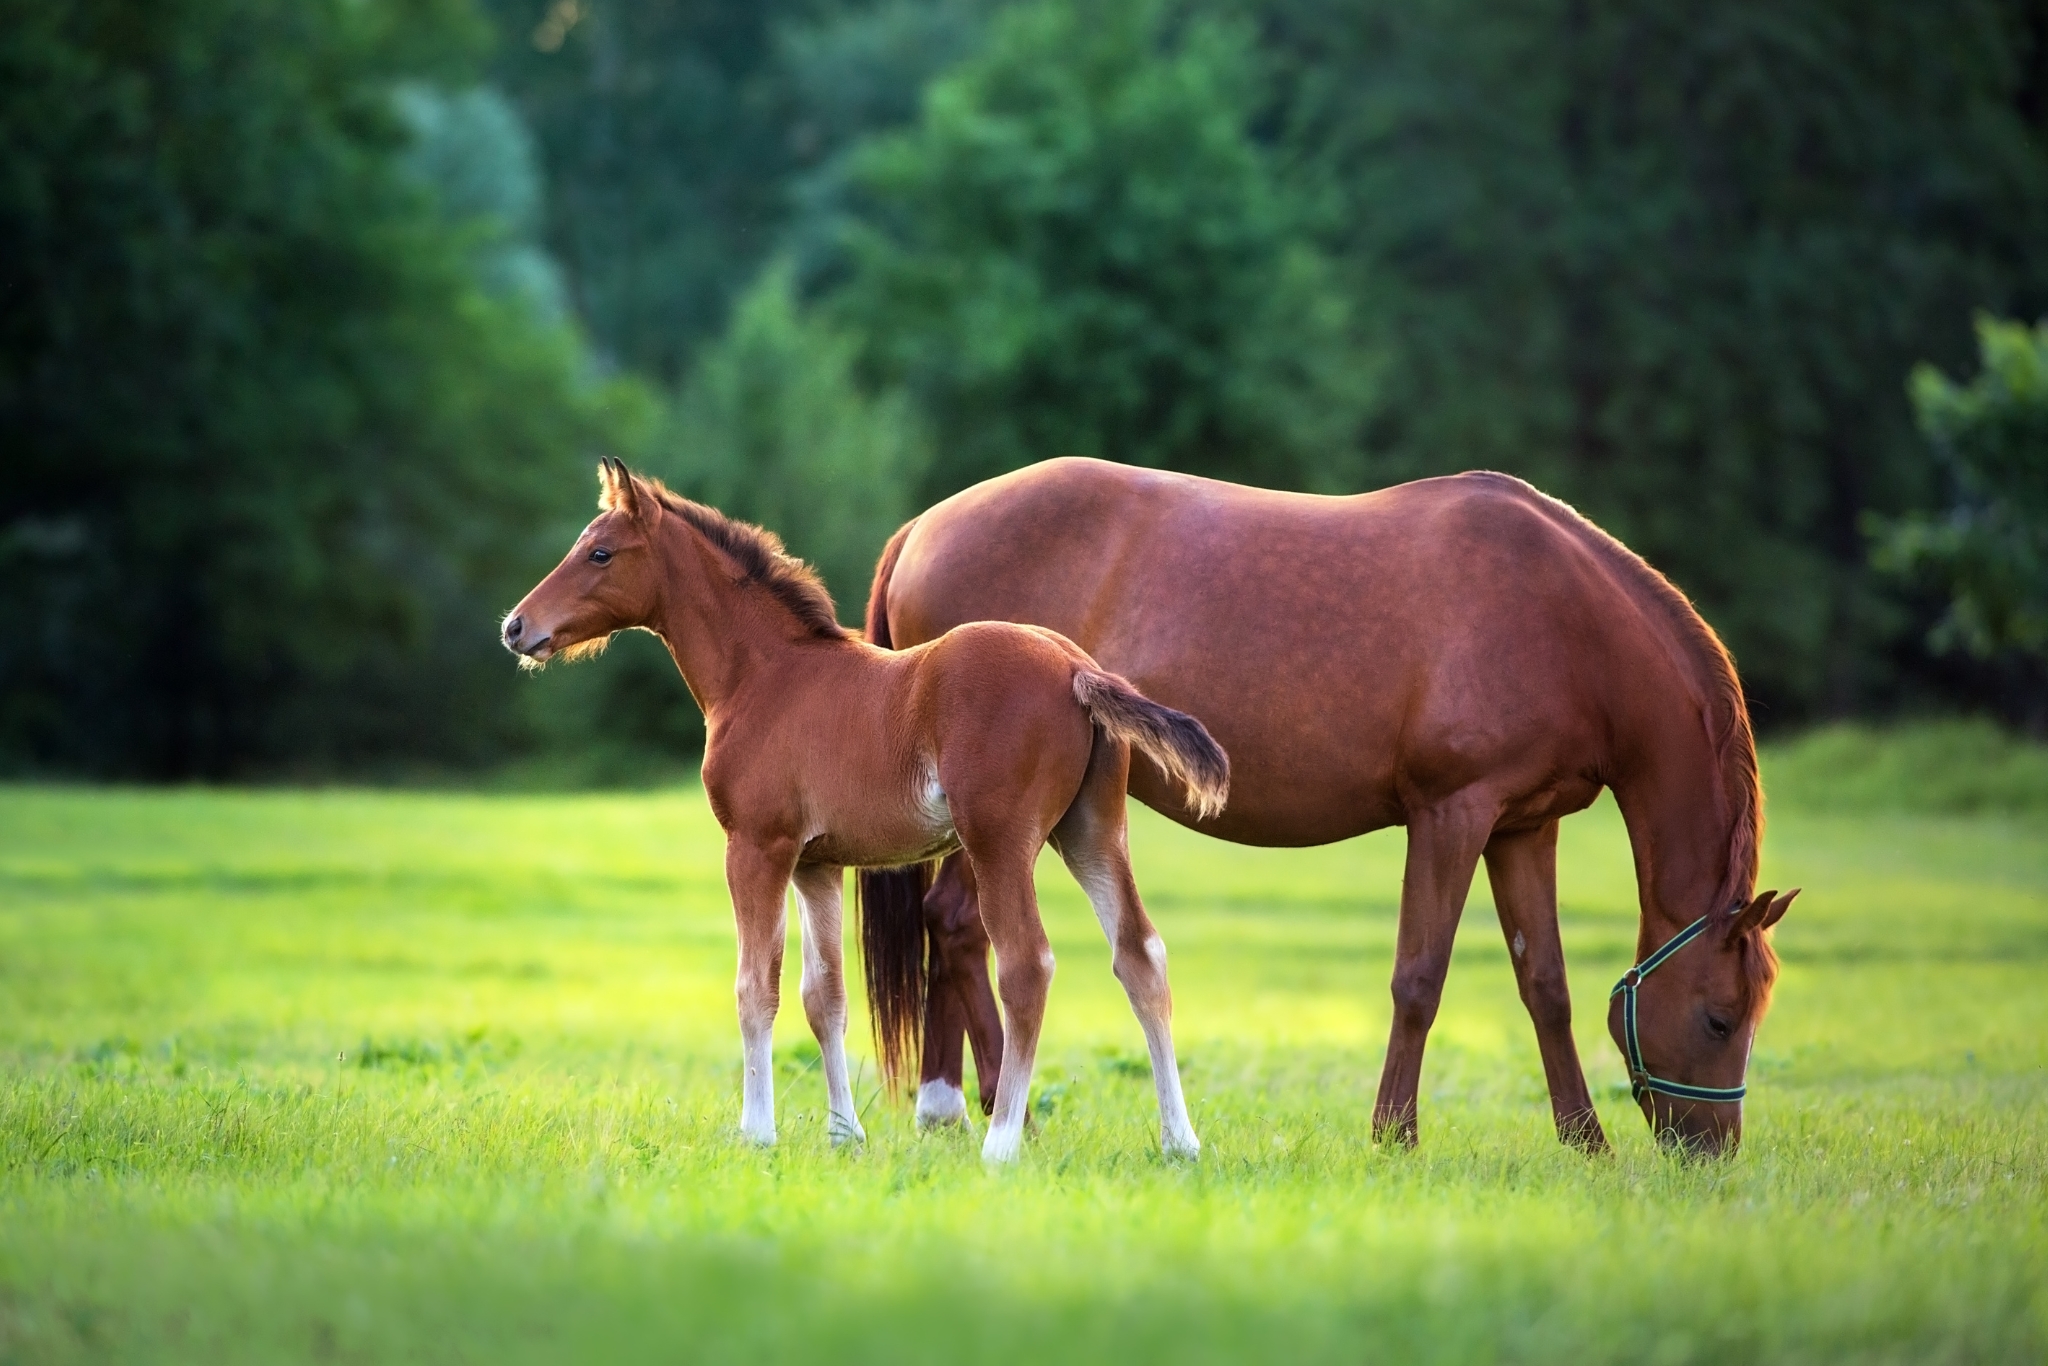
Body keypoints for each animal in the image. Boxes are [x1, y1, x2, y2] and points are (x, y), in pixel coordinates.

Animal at [501, 459, 1229, 1163]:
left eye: (599, 553)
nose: (515, 627)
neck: (765, 675)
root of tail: (1077, 669)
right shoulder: (816, 864)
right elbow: (824, 998)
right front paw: (844, 1135)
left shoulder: (756, 847)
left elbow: (755, 988)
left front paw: (757, 1132)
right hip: (1092, 831)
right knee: (1140, 955)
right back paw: (1180, 1141)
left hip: (1001, 841)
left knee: (1027, 965)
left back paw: (1000, 1144)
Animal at [860, 458, 1798, 1155]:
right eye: (1719, 1019)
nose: (1711, 1152)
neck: (1564, 619)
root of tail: (923, 526)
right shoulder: (1452, 815)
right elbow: (1419, 978)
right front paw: (1394, 1136)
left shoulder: (1525, 828)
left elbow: (1546, 986)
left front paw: (1585, 1143)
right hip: (997, 822)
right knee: (959, 927)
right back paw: (988, 1103)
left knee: (951, 928)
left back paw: (951, 1105)